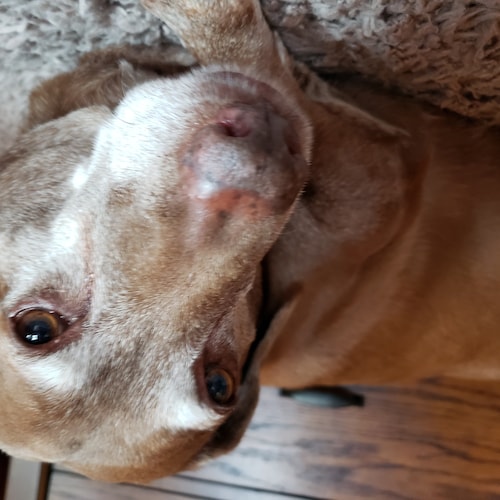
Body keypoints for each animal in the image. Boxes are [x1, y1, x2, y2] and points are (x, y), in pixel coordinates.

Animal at [0, 0, 500, 486]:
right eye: (37, 328)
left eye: (218, 385)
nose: (260, 165)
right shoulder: (379, 177)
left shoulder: (382, 178)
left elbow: (250, 52)